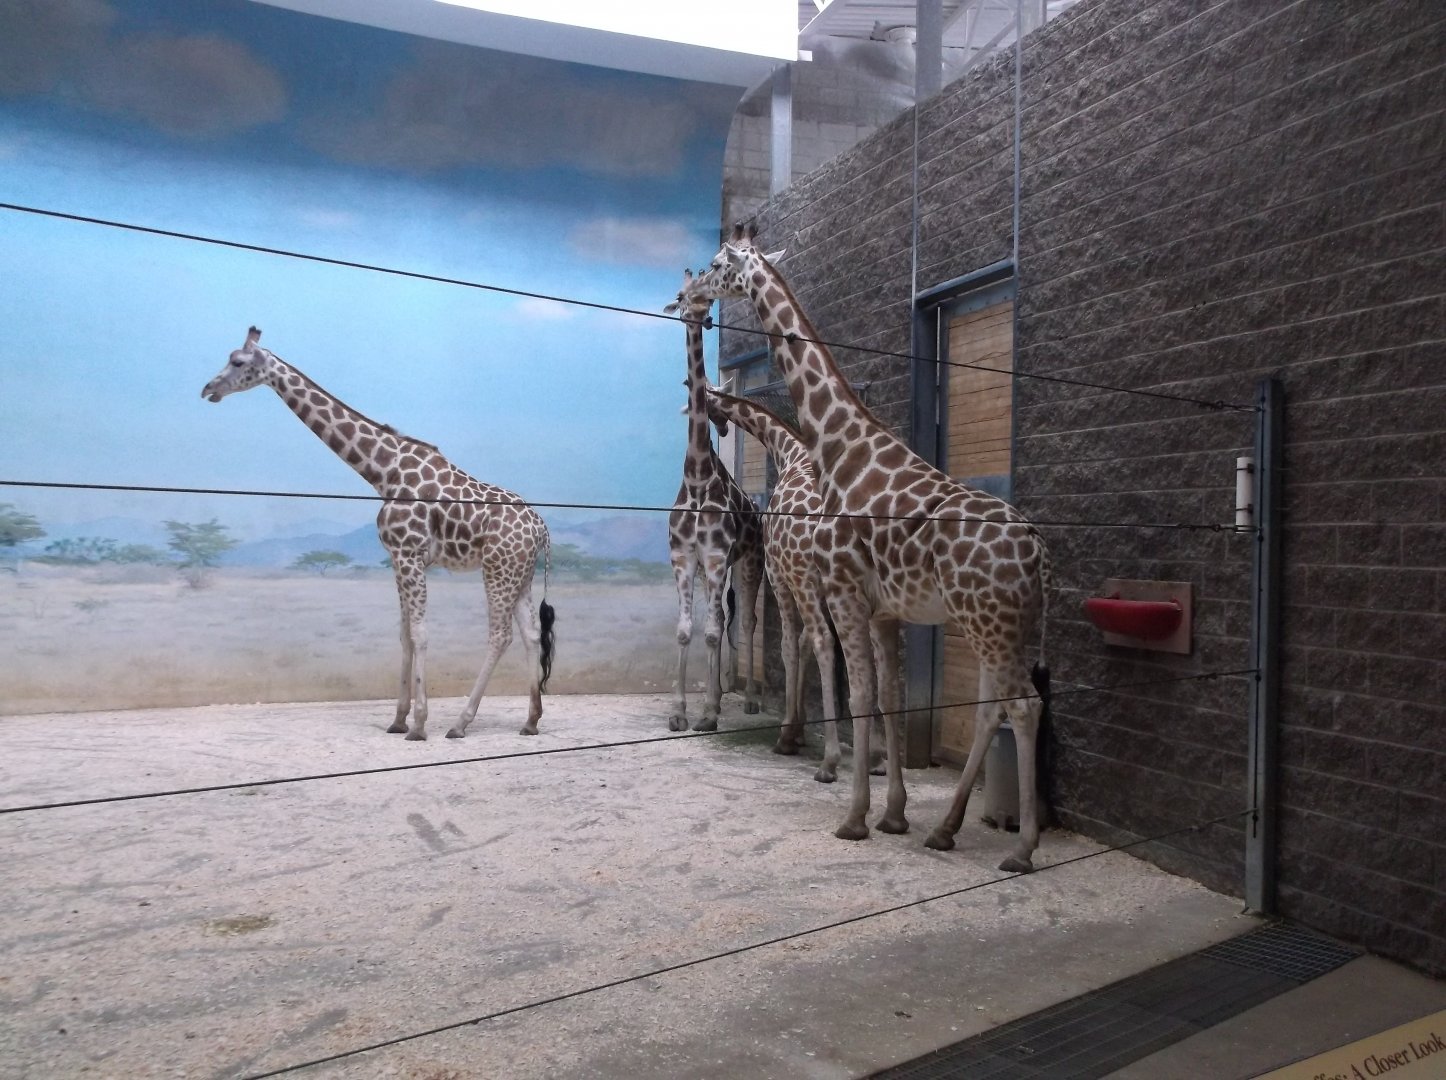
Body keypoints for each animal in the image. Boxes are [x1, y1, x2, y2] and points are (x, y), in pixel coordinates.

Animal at [201, 327, 555, 740]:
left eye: (238, 362)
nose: (208, 389)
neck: (383, 471)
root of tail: (541, 527)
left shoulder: (409, 553)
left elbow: (419, 633)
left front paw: (419, 724)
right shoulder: (398, 559)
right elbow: (403, 636)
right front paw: (399, 719)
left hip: (498, 569)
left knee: (500, 635)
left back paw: (460, 722)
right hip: (520, 574)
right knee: (531, 634)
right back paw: (530, 720)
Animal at [701, 386, 843, 783]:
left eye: (708, 403)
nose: (719, 430)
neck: (788, 451)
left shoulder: (780, 575)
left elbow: (789, 645)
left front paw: (788, 733)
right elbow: (803, 644)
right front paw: (799, 728)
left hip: (804, 579)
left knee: (824, 641)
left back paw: (830, 760)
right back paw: (875, 759)